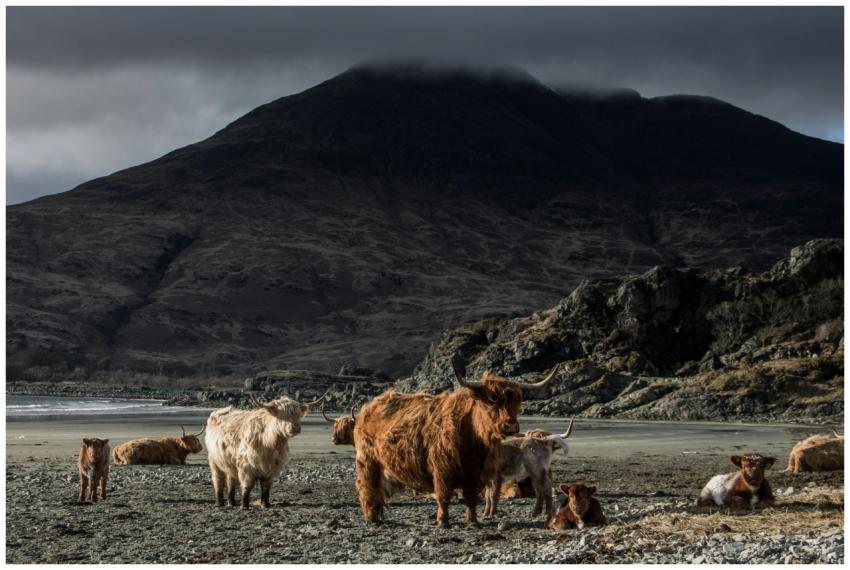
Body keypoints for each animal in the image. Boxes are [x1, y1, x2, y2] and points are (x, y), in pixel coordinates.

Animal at [353, 361, 563, 527]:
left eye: (518, 401)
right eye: (492, 399)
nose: (510, 426)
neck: (473, 440)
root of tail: (369, 407)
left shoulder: (476, 472)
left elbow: (471, 497)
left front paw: (473, 521)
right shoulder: (442, 468)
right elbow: (443, 495)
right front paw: (443, 521)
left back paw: (379, 515)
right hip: (368, 461)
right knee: (367, 485)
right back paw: (371, 517)